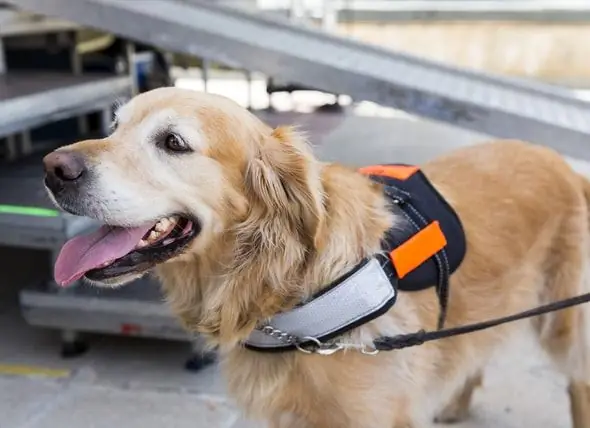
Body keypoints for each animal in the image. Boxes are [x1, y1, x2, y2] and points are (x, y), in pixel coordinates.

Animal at [44, 88, 590, 428]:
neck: (286, 291)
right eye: (114, 126)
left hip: (564, 324)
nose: (53, 168)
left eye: (173, 142)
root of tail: (564, 165)